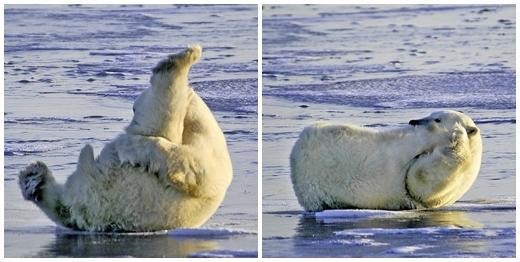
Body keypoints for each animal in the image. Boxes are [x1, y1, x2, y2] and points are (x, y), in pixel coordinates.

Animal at [18, 45, 234, 231]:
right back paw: (33, 177)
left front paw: (129, 146)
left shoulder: (207, 157)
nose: (133, 107)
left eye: (135, 106)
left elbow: (194, 165)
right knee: (63, 204)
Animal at [290, 110, 482, 211]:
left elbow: (419, 183)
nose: (413, 120)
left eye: (437, 118)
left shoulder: (443, 188)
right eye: (434, 114)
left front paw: (457, 133)